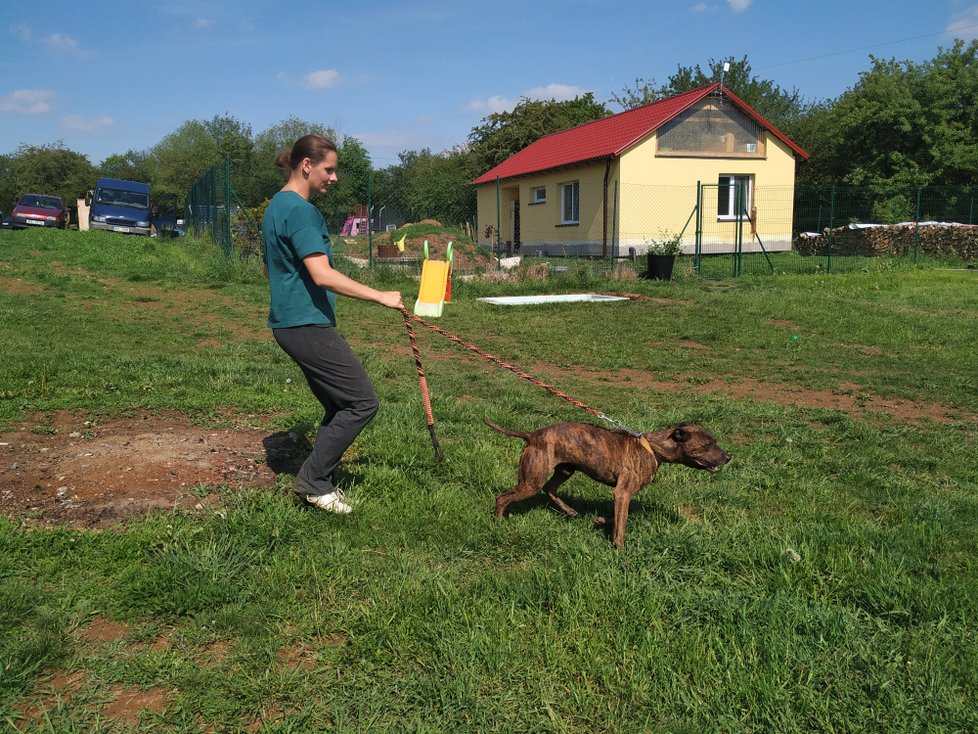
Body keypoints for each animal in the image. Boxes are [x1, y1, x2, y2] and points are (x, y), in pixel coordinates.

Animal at [484, 422, 728, 548]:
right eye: (708, 445)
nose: (729, 456)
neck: (654, 448)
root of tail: (533, 435)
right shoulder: (623, 492)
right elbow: (622, 522)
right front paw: (619, 549)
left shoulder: (621, 496)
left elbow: (617, 517)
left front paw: (600, 521)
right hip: (532, 480)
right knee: (503, 497)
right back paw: (498, 522)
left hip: (565, 469)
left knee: (550, 489)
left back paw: (569, 511)